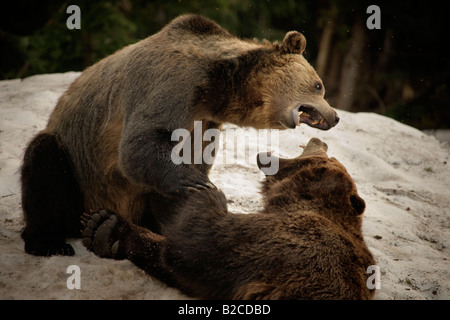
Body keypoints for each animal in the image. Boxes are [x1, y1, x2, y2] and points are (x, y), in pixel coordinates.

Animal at [21, 14, 338, 255]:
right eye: (319, 85)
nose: (335, 117)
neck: (218, 89)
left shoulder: (205, 119)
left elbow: (192, 156)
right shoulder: (174, 82)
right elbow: (141, 143)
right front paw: (197, 184)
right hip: (82, 170)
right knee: (44, 162)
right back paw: (48, 241)